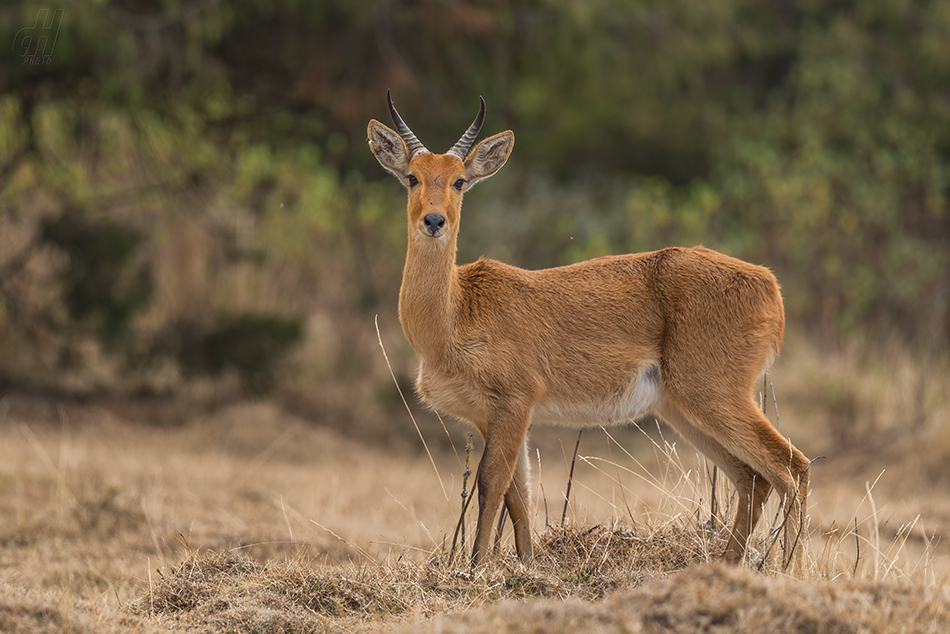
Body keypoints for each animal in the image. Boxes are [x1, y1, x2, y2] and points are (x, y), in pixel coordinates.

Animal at [364, 91, 812, 572]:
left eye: (460, 181)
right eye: (412, 177)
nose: (433, 221)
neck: (455, 311)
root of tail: (770, 284)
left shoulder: (513, 403)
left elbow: (491, 484)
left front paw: (477, 568)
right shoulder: (492, 417)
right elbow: (519, 496)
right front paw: (528, 567)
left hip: (714, 395)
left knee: (792, 466)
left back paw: (791, 571)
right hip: (680, 410)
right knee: (753, 478)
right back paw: (727, 566)